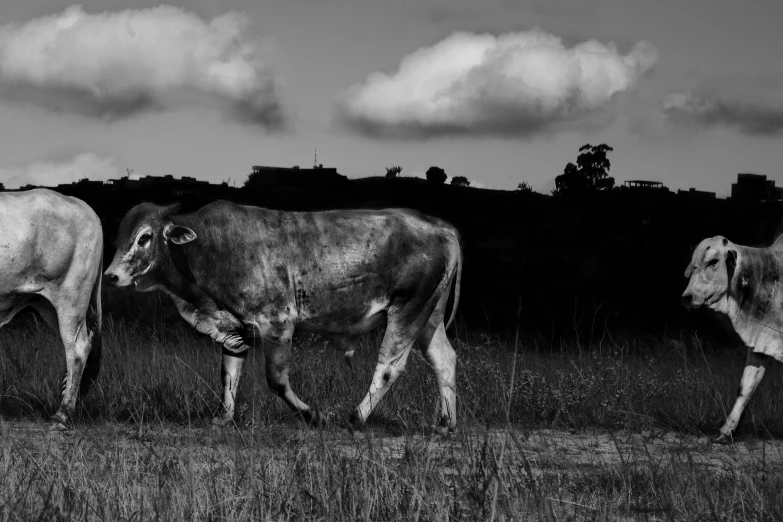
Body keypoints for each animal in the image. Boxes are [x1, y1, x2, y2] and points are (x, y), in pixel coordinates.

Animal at [102, 199, 460, 430]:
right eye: (119, 237)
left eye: (145, 237)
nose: (111, 276)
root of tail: (441, 226)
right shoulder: (235, 329)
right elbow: (229, 374)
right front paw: (223, 418)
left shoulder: (277, 322)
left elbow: (275, 380)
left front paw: (312, 415)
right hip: (429, 315)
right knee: (444, 359)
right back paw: (446, 423)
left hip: (408, 310)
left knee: (388, 367)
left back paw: (356, 417)